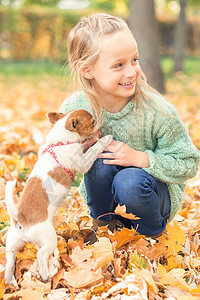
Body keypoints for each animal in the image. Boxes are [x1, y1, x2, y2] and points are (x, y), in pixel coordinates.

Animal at [4, 109, 112, 284]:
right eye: (92, 122)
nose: (99, 122)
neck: (62, 141)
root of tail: (20, 218)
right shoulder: (83, 162)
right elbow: (93, 150)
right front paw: (105, 139)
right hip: (49, 238)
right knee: (41, 254)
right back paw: (45, 275)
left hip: (12, 243)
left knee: (10, 261)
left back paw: (8, 280)